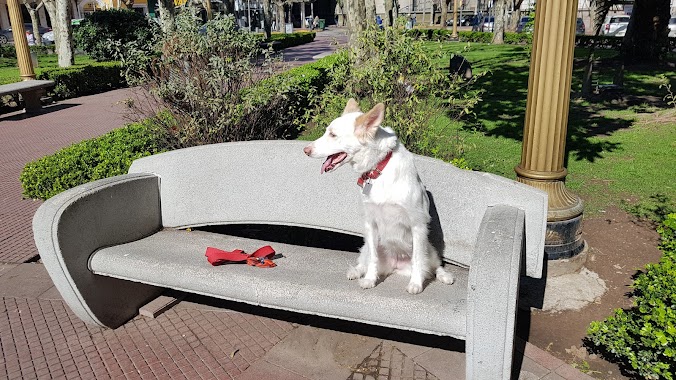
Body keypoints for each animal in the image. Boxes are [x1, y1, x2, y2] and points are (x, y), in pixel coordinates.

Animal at [302, 98, 454, 294]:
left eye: (333, 135)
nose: (305, 150)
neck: (379, 168)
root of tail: (395, 265)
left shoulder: (417, 225)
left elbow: (418, 260)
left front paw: (416, 283)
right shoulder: (370, 224)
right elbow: (373, 259)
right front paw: (369, 279)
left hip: (430, 249)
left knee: (434, 266)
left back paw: (444, 276)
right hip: (367, 245)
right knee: (364, 261)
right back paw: (356, 271)